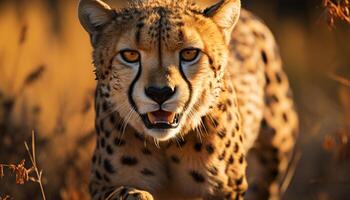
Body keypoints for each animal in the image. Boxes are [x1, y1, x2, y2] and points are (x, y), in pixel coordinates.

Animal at [78, 0, 298, 199]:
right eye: (130, 55)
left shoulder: (228, 189)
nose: (160, 93)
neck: (165, 144)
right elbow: (123, 190)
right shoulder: (100, 184)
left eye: (190, 53)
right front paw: (136, 195)